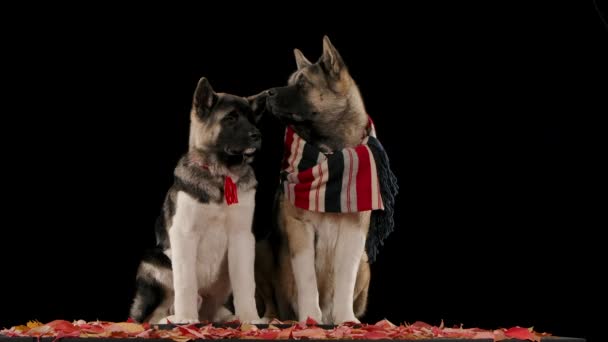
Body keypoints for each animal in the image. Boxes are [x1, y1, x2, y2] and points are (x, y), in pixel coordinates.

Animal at [129, 77, 268, 324]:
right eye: (230, 118)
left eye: (251, 119)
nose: (257, 135)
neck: (220, 176)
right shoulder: (184, 234)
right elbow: (185, 283)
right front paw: (185, 318)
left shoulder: (242, 237)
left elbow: (245, 282)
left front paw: (250, 319)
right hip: (155, 259)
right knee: (152, 315)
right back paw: (170, 319)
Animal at [262, 36, 400, 324]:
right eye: (291, 81)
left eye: (303, 84)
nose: (268, 93)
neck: (329, 156)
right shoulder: (300, 228)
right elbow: (306, 278)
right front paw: (309, 317)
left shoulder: (354, 232)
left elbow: (344, 278)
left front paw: (345, 319)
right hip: (263, 250)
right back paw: (272, 318)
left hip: (366, 262)